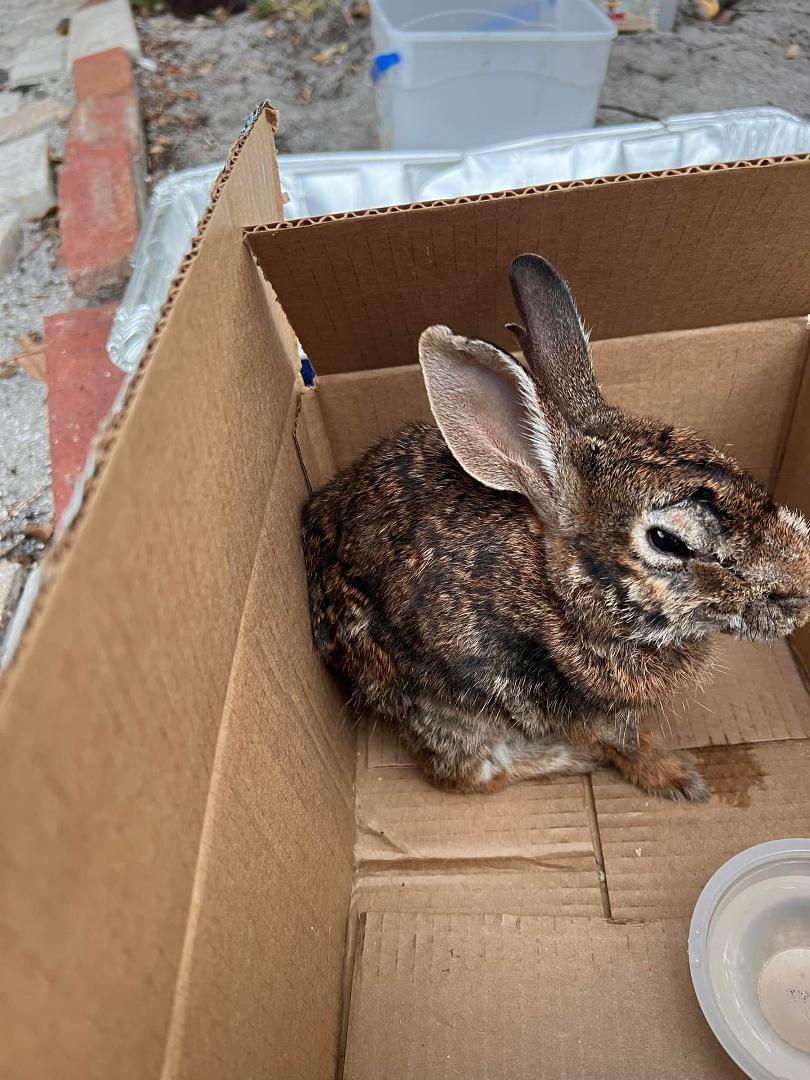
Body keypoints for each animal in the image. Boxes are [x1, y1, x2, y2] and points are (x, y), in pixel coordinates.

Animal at [302, 254, 810, 801]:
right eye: (667, 541)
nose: (801, 594)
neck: (562, 588)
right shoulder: (586, 705)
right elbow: (626, 744)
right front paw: (679, 779)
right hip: (446, 708)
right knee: (464, 774)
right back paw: (567, 759)